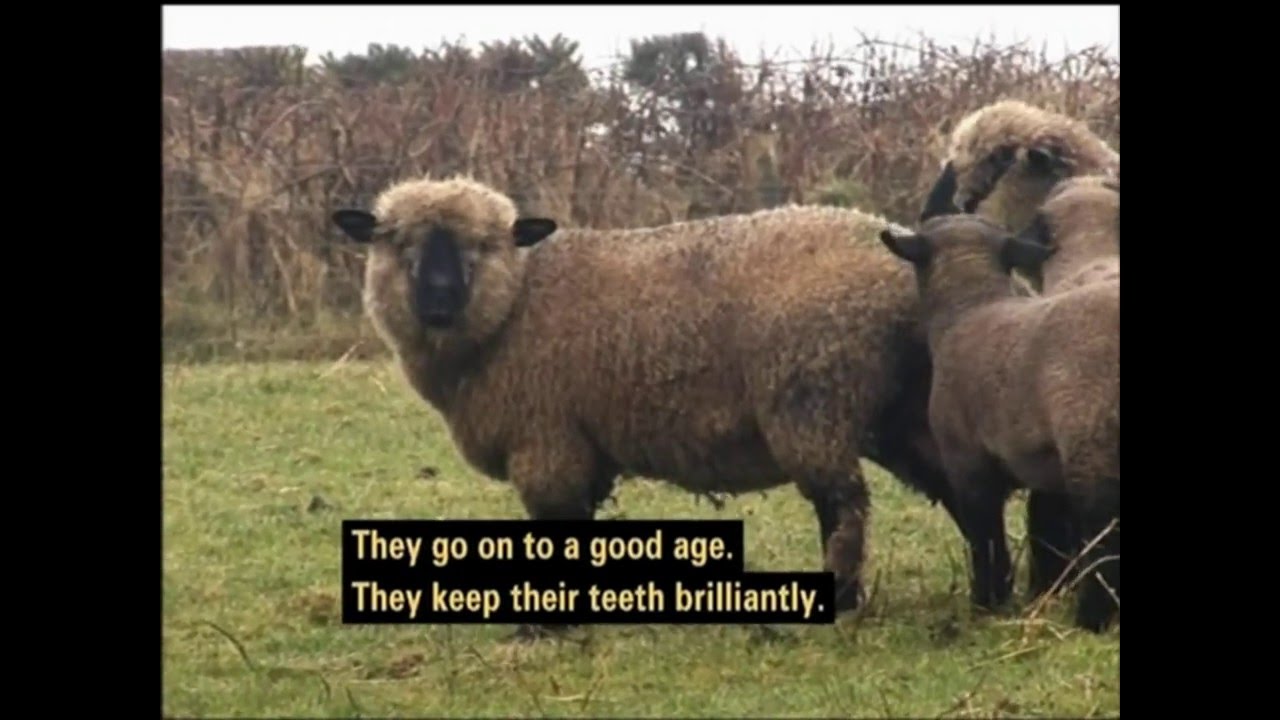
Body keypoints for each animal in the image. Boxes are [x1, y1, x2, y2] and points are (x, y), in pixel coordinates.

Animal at [330, 174, 962, 637]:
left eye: (483, 247)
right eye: (397, 242)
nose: (438, 301)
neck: (516, 304)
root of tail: (898, 250)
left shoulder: (546, 439)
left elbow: (556, 526)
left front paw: (545, 627)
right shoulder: (577, 448)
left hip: (812, 400)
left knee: (843, 508)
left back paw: (843, 604)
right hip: (899, 409)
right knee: (952, 485)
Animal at [879, 213, 1119, 633]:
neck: (969, 309)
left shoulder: (967, 462)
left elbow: (985, 536)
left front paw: (987, 601)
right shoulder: (1045, 471)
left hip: (1093, 446)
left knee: (1103, 539)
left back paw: (1092, 619)